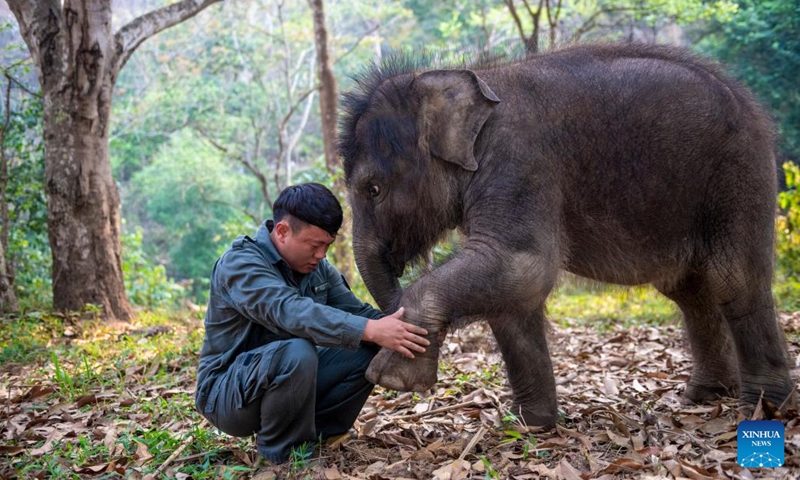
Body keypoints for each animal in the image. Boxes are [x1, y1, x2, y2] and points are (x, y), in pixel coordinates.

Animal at [338, 43, 795, 427]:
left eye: (372, 189)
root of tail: (748, 101)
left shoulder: (519, 159)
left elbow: (523, 265)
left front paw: (394, 377)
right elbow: (513, 294)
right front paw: (530, 424)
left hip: (738, 172)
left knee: (732, 278)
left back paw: (764, 407)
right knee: (689, 290)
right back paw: (706, 396)